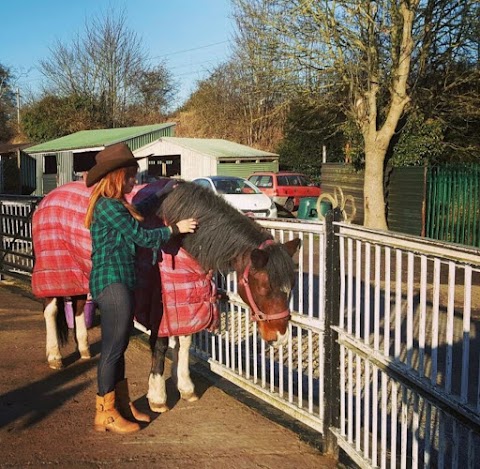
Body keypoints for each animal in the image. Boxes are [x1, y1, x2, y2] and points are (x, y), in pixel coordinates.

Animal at [31, 181, 300, 412]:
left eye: (291, 287)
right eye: (264, 288)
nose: (280, 338)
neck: (183, 240)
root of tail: (48, 197)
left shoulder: (186, 295)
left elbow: (185, 341)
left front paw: (186, 386)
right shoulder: (158, 303)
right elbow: (160, 344)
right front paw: (158, 396)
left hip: (76, 272)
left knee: (77, 306)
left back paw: (84, 348)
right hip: (52, 268)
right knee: (50, 310)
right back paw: (54, 356)